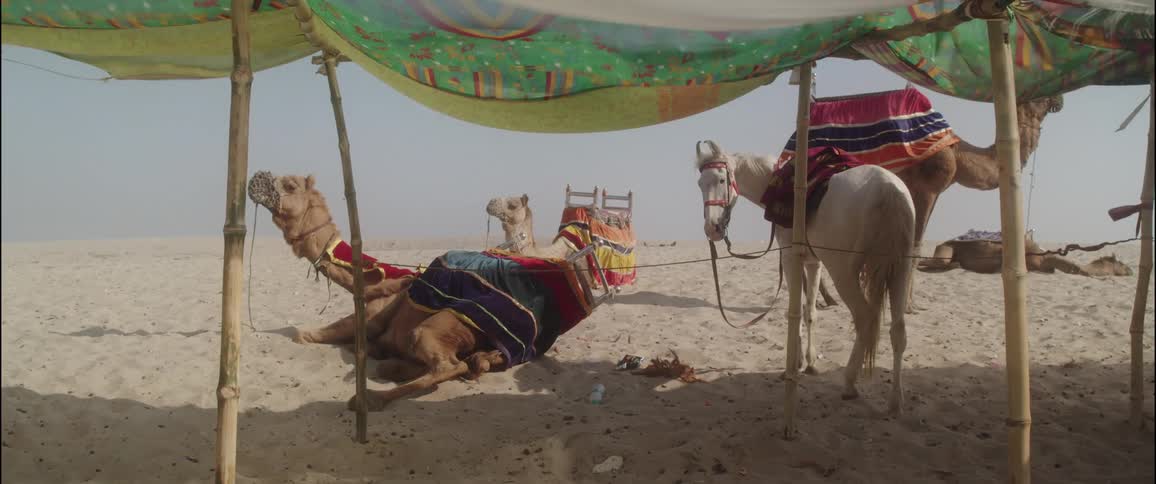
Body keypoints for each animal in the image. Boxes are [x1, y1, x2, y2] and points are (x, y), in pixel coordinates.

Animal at [694, 140, 915, 414]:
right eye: (700, 183)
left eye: (722, 179)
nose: (712, 229)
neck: (775, 182)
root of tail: (888, 190)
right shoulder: (814, 262)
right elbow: (810, 312)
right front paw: (810, 363)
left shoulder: (791, 258)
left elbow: (796, 311)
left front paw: (795, 365)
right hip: (900, 268)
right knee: (898, 330)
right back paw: (895, 401)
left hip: (843, 271)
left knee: (865, 319)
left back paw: (850, 383)